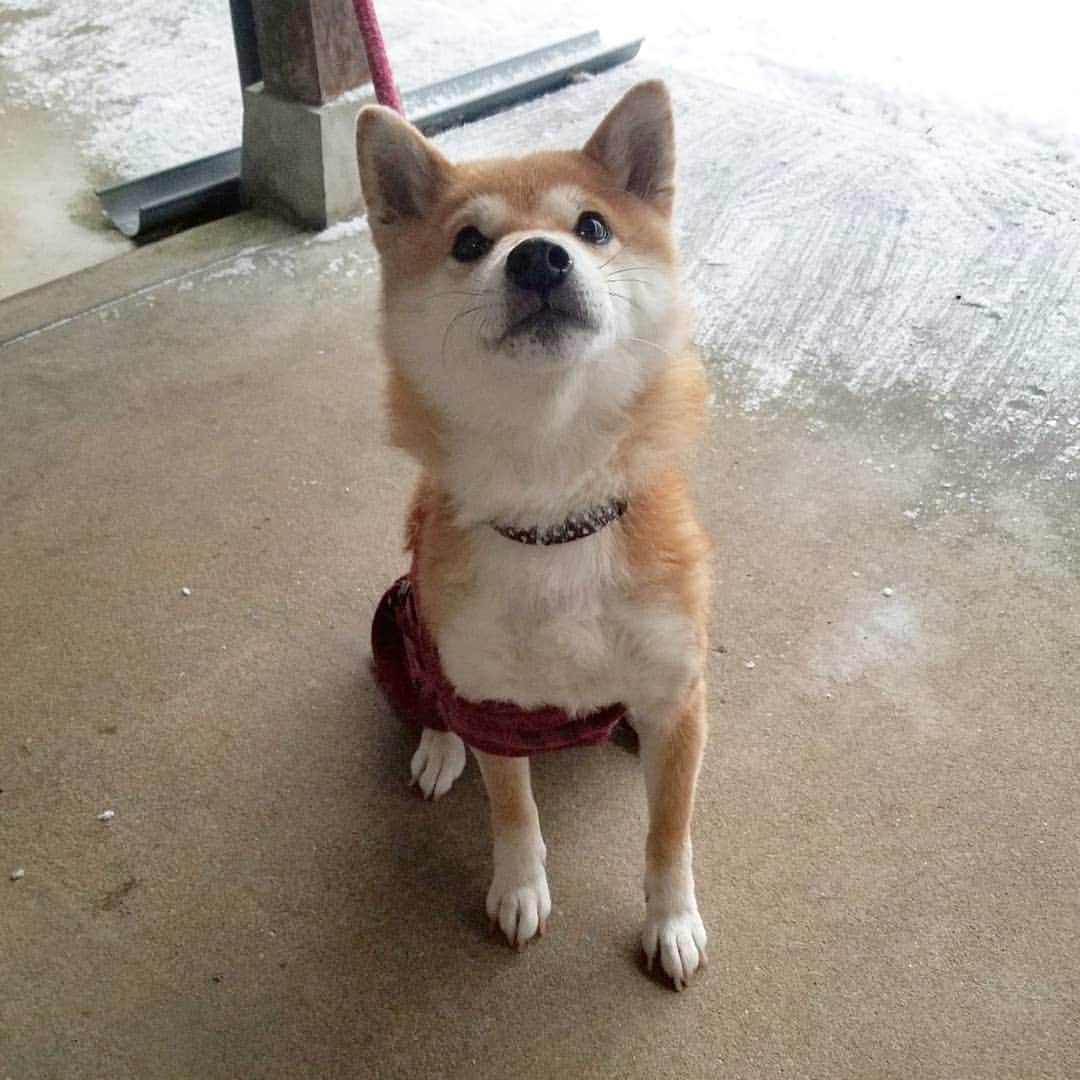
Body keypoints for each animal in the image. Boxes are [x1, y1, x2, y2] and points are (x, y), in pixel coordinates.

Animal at [358, 79, 712, 989]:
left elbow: (669, 835)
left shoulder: (680, 698)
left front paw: (671, 921)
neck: (556, 508)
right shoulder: (490, 702)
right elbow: (511, 808)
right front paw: (518, 888)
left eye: (592, 226)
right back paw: (436, 749)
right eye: (468, 242)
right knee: (431, 696)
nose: (538, 258)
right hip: (401, 619)